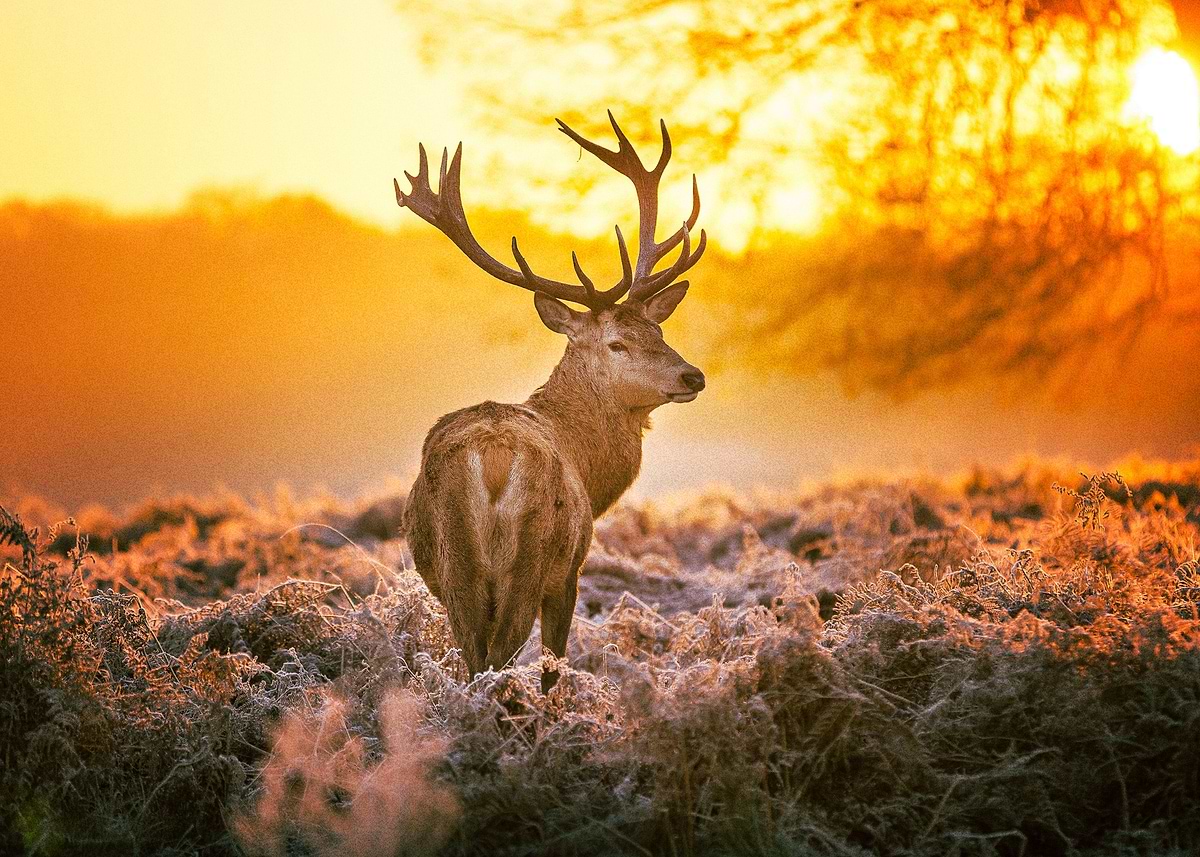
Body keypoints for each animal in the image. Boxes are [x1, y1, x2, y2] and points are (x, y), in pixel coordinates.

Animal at [394, 113, 707, 692]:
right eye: (617, 343)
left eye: (657, 329)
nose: (692, 375)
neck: (589, 466)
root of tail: (492, 459)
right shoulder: (570, 570)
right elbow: (553, 666)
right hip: (530, 558)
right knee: (500, 658)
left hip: (455, 567)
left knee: (474, 659)